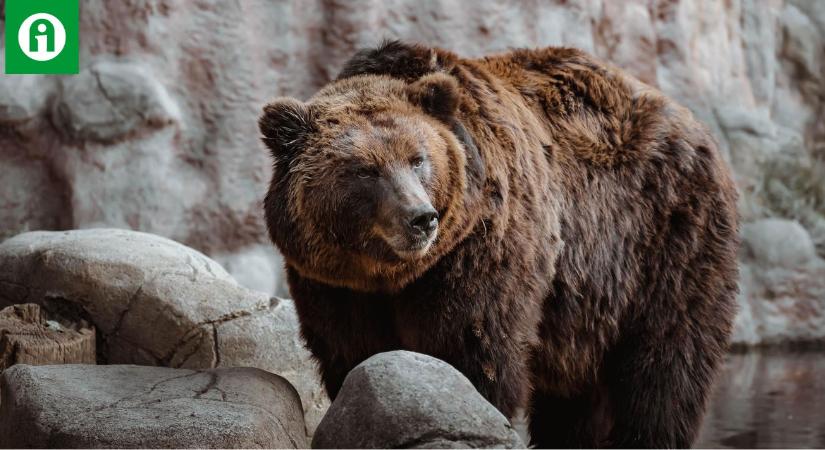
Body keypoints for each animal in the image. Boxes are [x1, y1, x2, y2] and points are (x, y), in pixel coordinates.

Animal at [260, 41, 736, 446]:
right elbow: (351, 353)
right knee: (576, 397)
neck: (390, 274)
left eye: (419, 159)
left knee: (666, 366)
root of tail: (694, 123)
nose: (421, 219)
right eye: (364, 170)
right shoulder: (334, 284)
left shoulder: (481, 249)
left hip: (665, 241)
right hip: (588, 310)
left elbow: (474, 348)